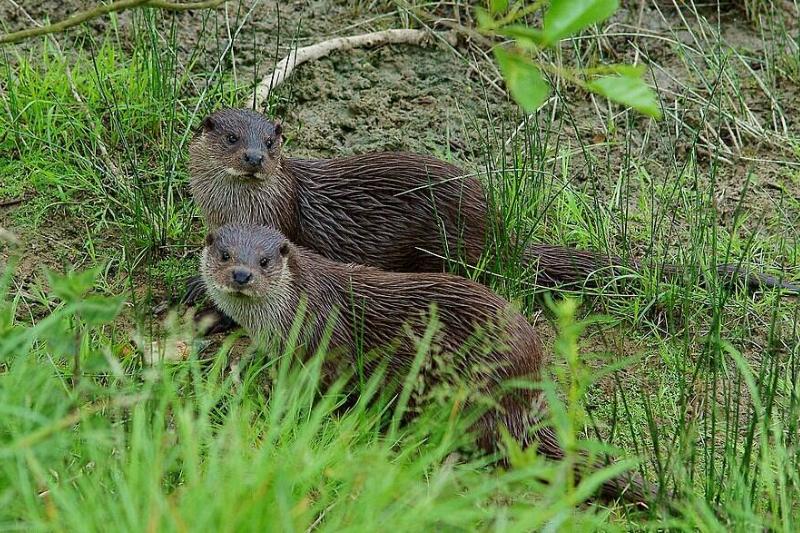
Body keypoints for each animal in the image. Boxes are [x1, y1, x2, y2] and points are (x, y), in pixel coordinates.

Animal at [185, 107, 798, 309]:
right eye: (233, 137)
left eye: (273, 141)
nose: (255, 158)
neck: (235, 208)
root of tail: (498, 228)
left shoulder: (285, 221)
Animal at [200, 223, 656, 506]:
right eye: (224, 254)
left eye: (264, 261)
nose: (241, 275)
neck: (297, 305)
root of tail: (526, 393)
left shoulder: (322, 346)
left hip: (477, 390)